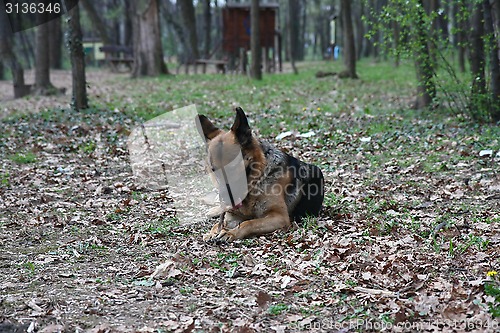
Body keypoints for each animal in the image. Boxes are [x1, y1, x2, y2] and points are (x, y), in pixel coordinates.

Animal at [195, 107, 324, 240]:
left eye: (232, 167)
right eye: (214, 170)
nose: (226, 199)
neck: (258, 179)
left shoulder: (279, 217)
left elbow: (249, 223)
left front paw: (231, 233)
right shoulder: (233, 217)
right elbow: (219, 224)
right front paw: (214, 231)